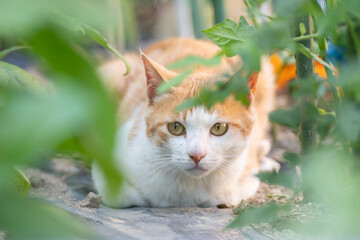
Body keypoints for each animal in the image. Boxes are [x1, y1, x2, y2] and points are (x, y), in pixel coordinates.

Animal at [91, 38, 278, 208]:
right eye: (176, 127)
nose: (196, 155)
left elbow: (226, 196)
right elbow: (119, 194)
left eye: (219, 128)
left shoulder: (245, 174)